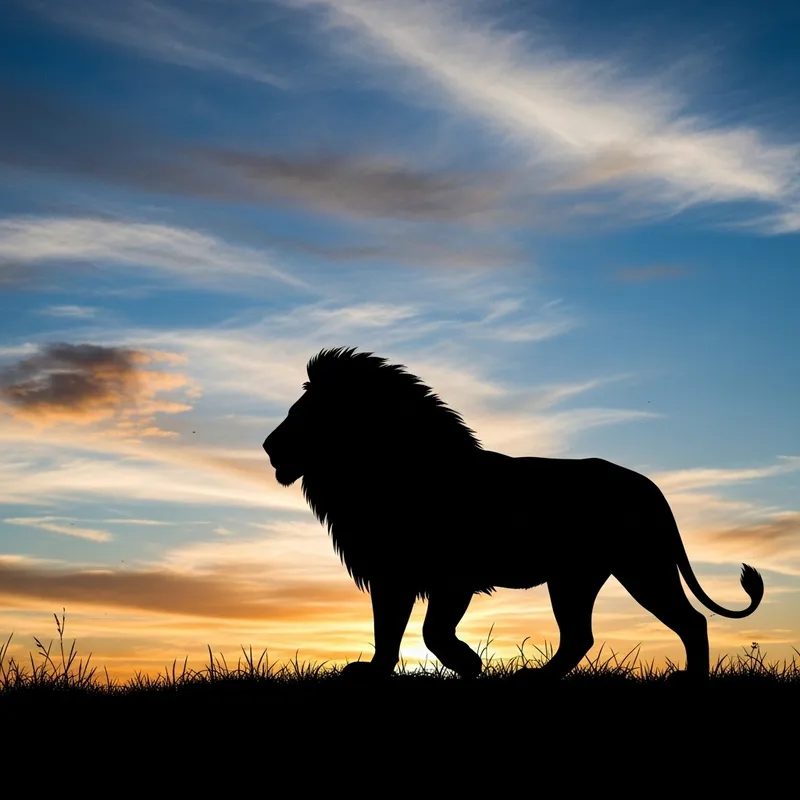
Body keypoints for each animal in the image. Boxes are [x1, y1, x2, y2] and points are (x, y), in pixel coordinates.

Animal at [263, 347, 764, 682]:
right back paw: (538, 680)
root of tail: (653, 490)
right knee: (580, 636)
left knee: (690, 622)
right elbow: (387, 632)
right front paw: (374, 674)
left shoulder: (452, 577)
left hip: (639, 567)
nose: (268, 447)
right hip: (577, 578)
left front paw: (469, 664)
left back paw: (690, 681)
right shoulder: (392, 575)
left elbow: (430, 631)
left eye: (304, 413)